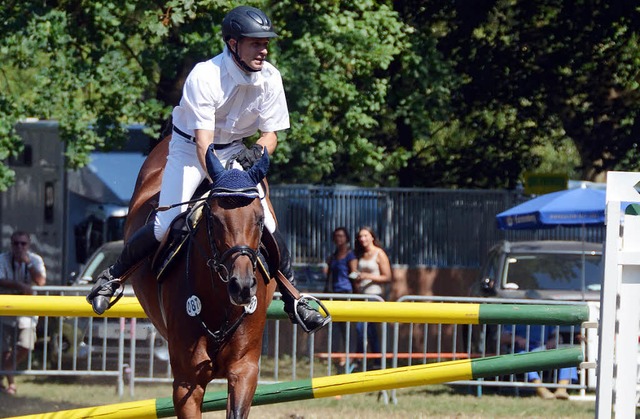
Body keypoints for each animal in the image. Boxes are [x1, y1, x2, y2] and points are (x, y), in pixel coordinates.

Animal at [126, 136, 276, 418]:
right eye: (214, 219)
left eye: (260, 220)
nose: (242, 286)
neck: (220, 300)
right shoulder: (188, 380)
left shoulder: (244, 370)